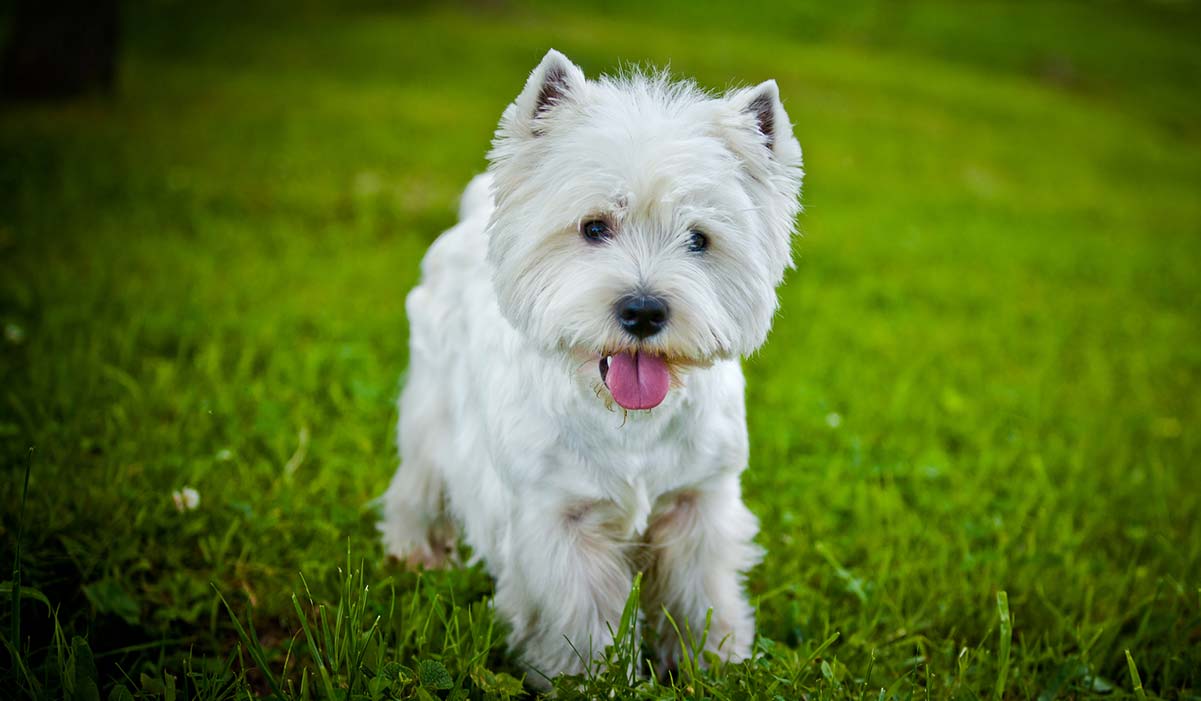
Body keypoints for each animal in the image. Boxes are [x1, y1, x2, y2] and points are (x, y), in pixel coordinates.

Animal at [379, 50, 802, 686]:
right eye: (594, 227)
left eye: (699, 239)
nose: (644, 310)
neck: (631, 422)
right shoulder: (558, 520)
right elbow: (581, 617)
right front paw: (591, 679)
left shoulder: (698, 502)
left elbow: (699, 594)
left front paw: (717, 662)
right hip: (432, 409)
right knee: (420, 482)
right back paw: (416, 552)